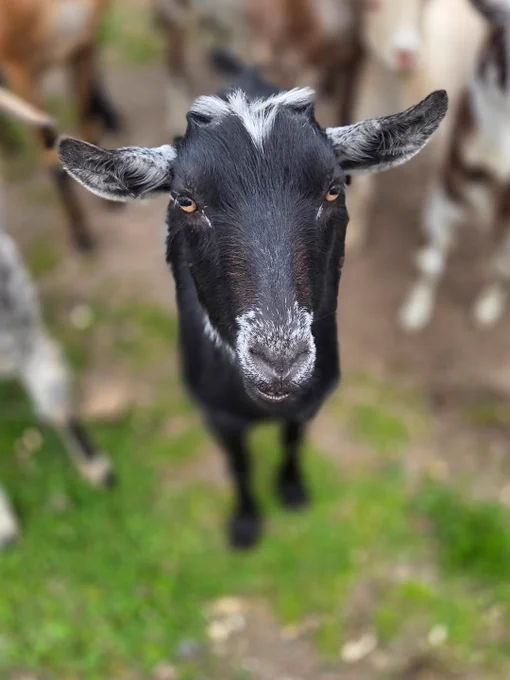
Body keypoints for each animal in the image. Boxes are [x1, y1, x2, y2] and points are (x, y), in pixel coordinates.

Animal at [0, 0, 122, 251]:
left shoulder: (81, 48)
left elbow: (87, 128)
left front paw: (109, 201)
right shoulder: (21, 72)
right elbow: (52, 164)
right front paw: (81, 234)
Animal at [58, 68, 447, 548]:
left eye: (334, 190)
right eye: (186, 201)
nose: (279, 362)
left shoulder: (311, 398)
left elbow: (294, 441)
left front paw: (293, 490)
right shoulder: (216, 413)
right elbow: (238, 463)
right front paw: (245, 524)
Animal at [399, 0, 510, 330]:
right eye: (500, 40)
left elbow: (501, 264)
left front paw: (488, 305)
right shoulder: (451, 177)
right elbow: (433, 260)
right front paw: (416, 310)